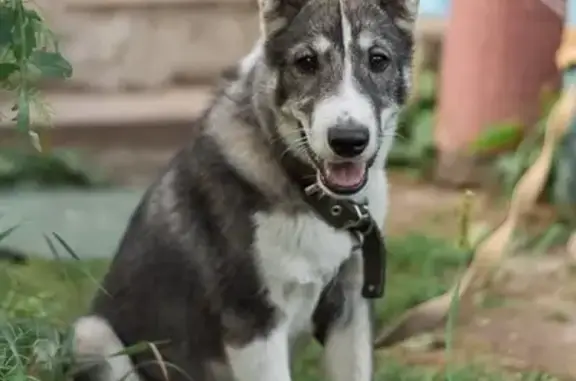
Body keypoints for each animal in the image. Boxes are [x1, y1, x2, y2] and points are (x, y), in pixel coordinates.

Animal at [73, 0, 418, 380]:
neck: (311, 197)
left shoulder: (352, 310)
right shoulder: (254, 320)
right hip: (91, 333)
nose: (348, 141)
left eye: (378, 60)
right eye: (306, 62)